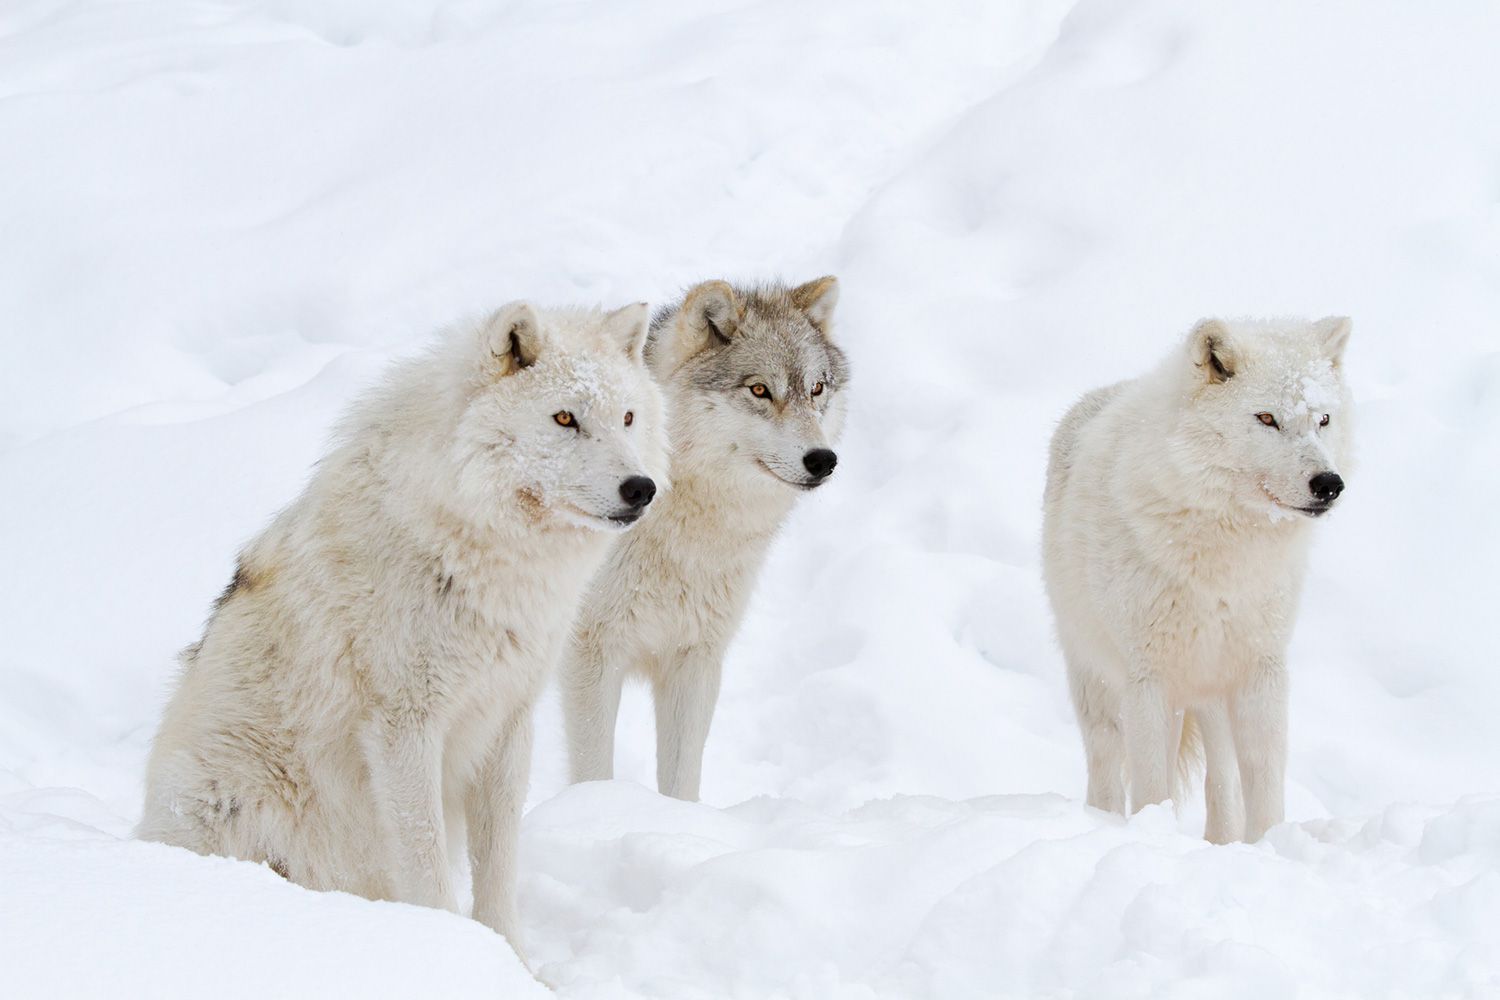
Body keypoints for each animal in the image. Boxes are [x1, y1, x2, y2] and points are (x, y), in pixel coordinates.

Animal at [139, 301, 669, 959]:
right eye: (565, 418)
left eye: (628, 418)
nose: (641, 489)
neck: (476, 552)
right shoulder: (404, 726)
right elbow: (426, 863)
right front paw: (447, 950)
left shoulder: (506, 718)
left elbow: (498, 868)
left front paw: (512, 959)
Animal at [564, 277, 852, 803]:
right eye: (759, 389)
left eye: (817, 388)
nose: (823, 459)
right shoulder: (590, 654)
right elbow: (594, 770)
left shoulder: (695, 657)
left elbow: (682, 778)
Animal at [1044, 314, 1362, 845]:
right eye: (1267, 419)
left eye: (1322, 421)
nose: (1329, 484)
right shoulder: (1149, 680)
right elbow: (1152, 785)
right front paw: (1152, 835)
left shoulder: (1261, 670)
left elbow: (1263, 781)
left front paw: (1268, 844)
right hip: (1098, 683)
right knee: (1107, 766)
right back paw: (1105, 821)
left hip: (1211, 693)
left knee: (1222, 778)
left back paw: (1222, 841)